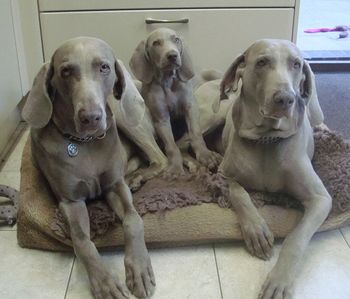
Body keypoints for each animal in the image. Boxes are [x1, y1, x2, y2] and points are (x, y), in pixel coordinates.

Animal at [21, 37, 157, 299]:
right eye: (65, 71)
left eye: (104, 67)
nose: (91, 117)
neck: (85, 143)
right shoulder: (70, 202)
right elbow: (83, 242)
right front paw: (106, 282)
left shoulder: (114, 186)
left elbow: (134, 220)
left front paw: (139, 269)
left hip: (124, 116)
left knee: (160, 158)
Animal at [129, 27, 221, 178]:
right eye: (156, 43)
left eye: (176, 39)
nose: (172, 55)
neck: (168, 81)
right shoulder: (161, 119)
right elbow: (171, 146)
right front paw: (175, 169)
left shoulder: (191, 108)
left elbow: (196, 133)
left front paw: (206, 156)